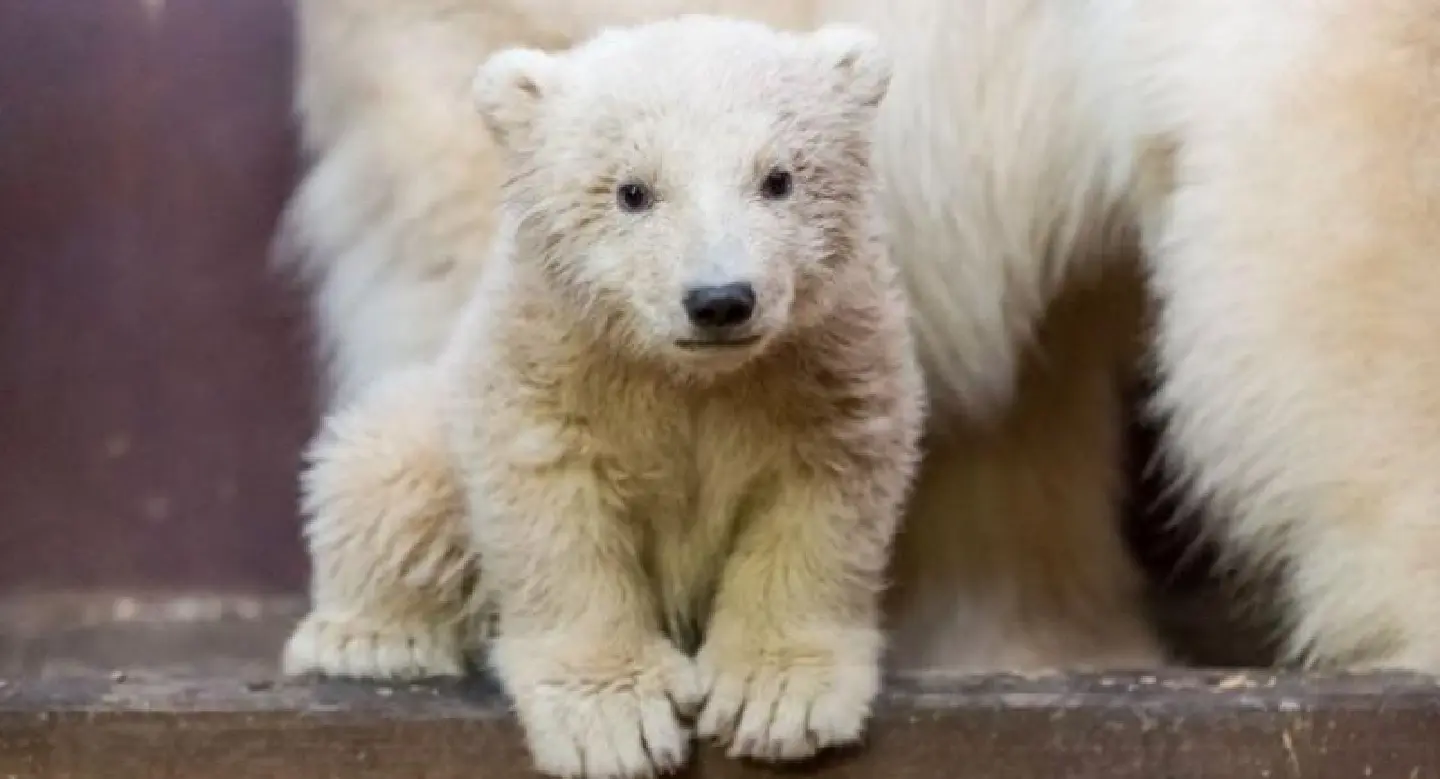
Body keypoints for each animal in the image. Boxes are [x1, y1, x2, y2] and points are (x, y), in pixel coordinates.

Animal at [287, 15, 925, 777]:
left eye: (780, 178)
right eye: (632, 191)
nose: (719, 300)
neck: (690, 376)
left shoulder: (826, 368)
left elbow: (820, 508)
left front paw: (774, 699)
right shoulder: (549, 371)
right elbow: (556, 526)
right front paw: (616, 723)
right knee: (385, 466)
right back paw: (373, 638)